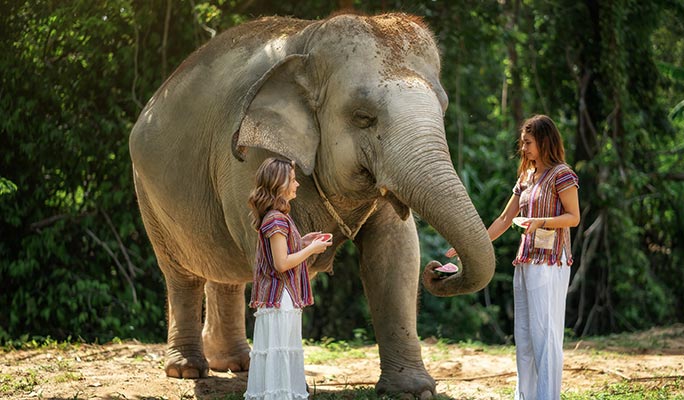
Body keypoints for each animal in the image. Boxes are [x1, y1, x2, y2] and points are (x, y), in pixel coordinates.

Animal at [129, 12, 495, 398]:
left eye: (443, 109)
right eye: (363, 117)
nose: (441, 268)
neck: (308, 41)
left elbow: (397, 255)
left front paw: (413, 390)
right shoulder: (248, 158)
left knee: (228, 271)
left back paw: (236, 365)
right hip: (148, 195)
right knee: (180, 274)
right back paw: (187, 370)